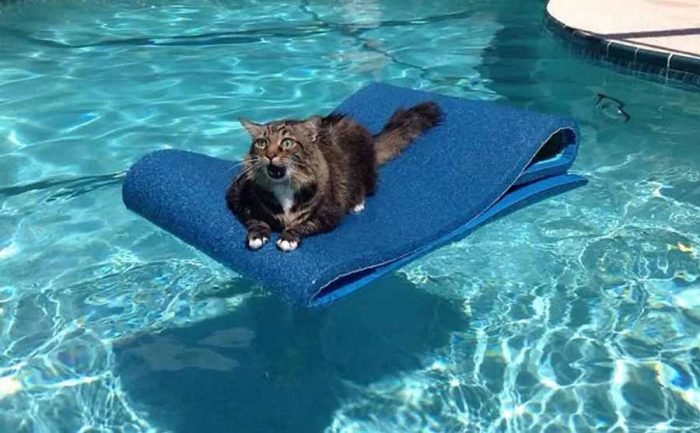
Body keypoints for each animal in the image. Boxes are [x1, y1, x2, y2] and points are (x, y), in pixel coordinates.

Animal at [227, 101, 440, 251]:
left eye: (287, 143)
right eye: (261, 143)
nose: (269, 155)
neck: (283, 186)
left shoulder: (329, 214)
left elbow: (304, 225)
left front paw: (288, 238)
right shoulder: (238, 199)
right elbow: (255, 220)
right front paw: (258, 236)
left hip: (362, 166)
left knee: (367, 185)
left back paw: (357, 203)